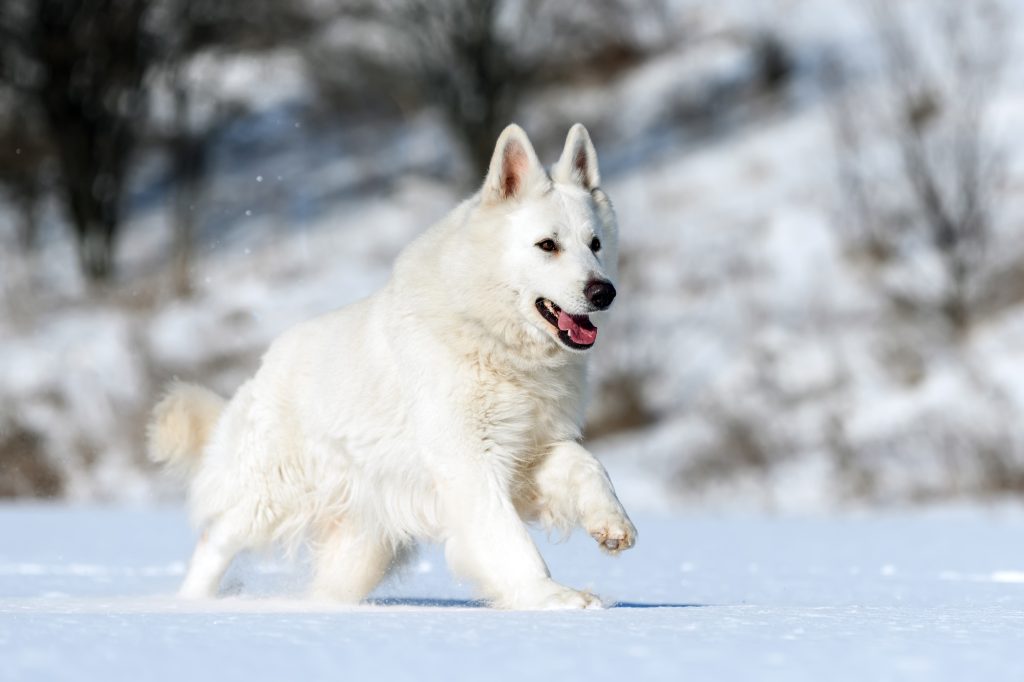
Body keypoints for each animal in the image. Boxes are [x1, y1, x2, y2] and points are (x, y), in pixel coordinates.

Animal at [148, 122, 634, 606]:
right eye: (547, 245)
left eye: (595, 244)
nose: (604, 292)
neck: (491, 338)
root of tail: (262, 368)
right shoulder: (469, 463)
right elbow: (509, 541)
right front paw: (552, 597)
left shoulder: (528, 453)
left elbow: (587, 464)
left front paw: (612, 521)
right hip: (271, 497)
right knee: (215, 538)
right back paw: (188, 603)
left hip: (361, 548)